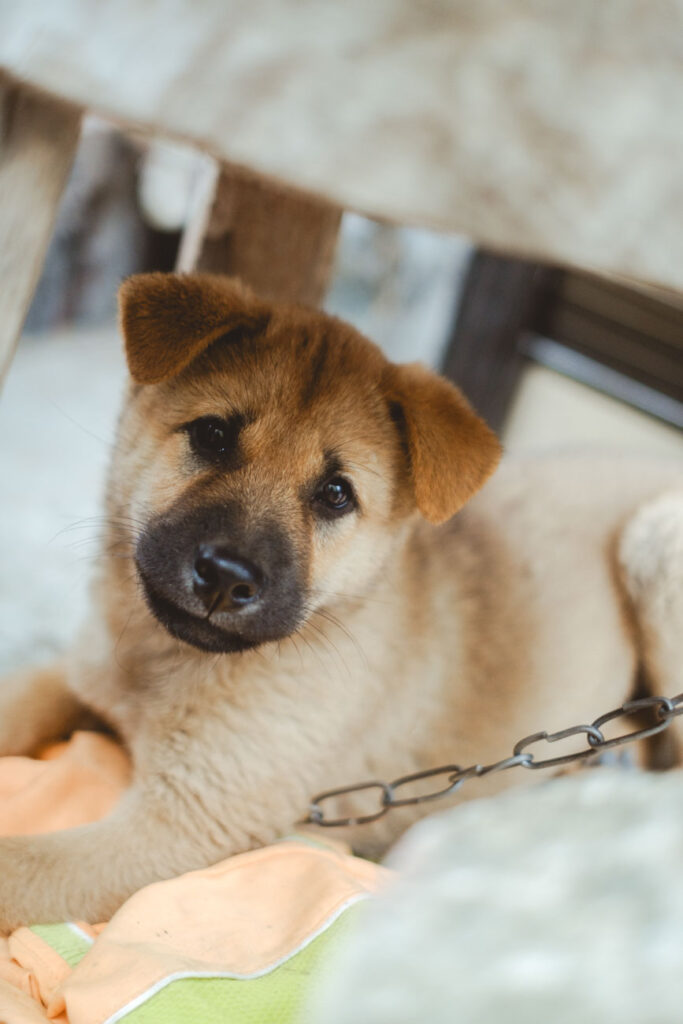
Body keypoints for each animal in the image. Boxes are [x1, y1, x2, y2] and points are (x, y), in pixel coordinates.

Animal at [0, 271, 681, 929]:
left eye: (335, 494)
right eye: (213, 435)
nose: (224, 578)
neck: (163, 665)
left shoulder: (184, 822)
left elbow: (19, 868)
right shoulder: (78, 678)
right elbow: (19, 698)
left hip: (655, 543)